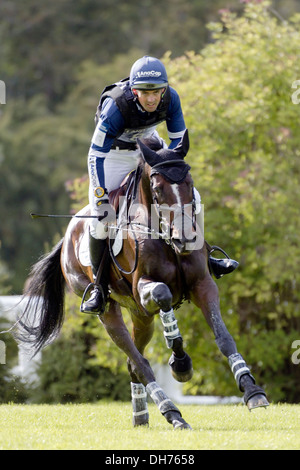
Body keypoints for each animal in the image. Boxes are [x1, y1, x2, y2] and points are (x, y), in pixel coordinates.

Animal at [19, 131, 270, 430]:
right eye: (157, 189)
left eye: (190, 184)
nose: (185, 239)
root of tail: (68, 234)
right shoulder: (144, 289)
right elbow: (163, 295)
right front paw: (181, 363)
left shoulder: (203, 285)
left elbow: (224, 337)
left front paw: (252, 391)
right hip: (110, 311)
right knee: (139, 362)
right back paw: (172, 413)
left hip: (140, 316)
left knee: (133, 363)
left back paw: (142, 415)